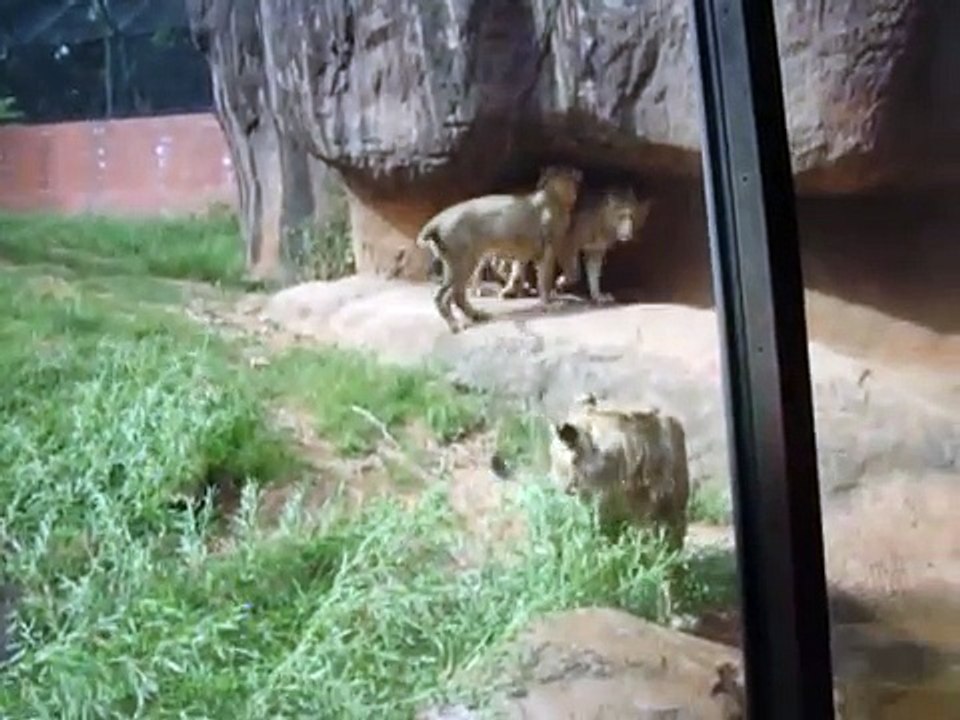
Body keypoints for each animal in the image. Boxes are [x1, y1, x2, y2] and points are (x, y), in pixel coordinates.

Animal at [416, 165, 582, 333]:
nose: (576, 192)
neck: (554, 195)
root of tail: (437, 220)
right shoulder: (548, 249)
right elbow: (547, 279)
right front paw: (549, 303)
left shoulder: (525, 253)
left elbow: (517, 273)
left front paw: (513, 290)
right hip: (462, 263)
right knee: (443, 296)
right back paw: (455, 325)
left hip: (461, 263)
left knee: (458, 294)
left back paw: (478, 315)